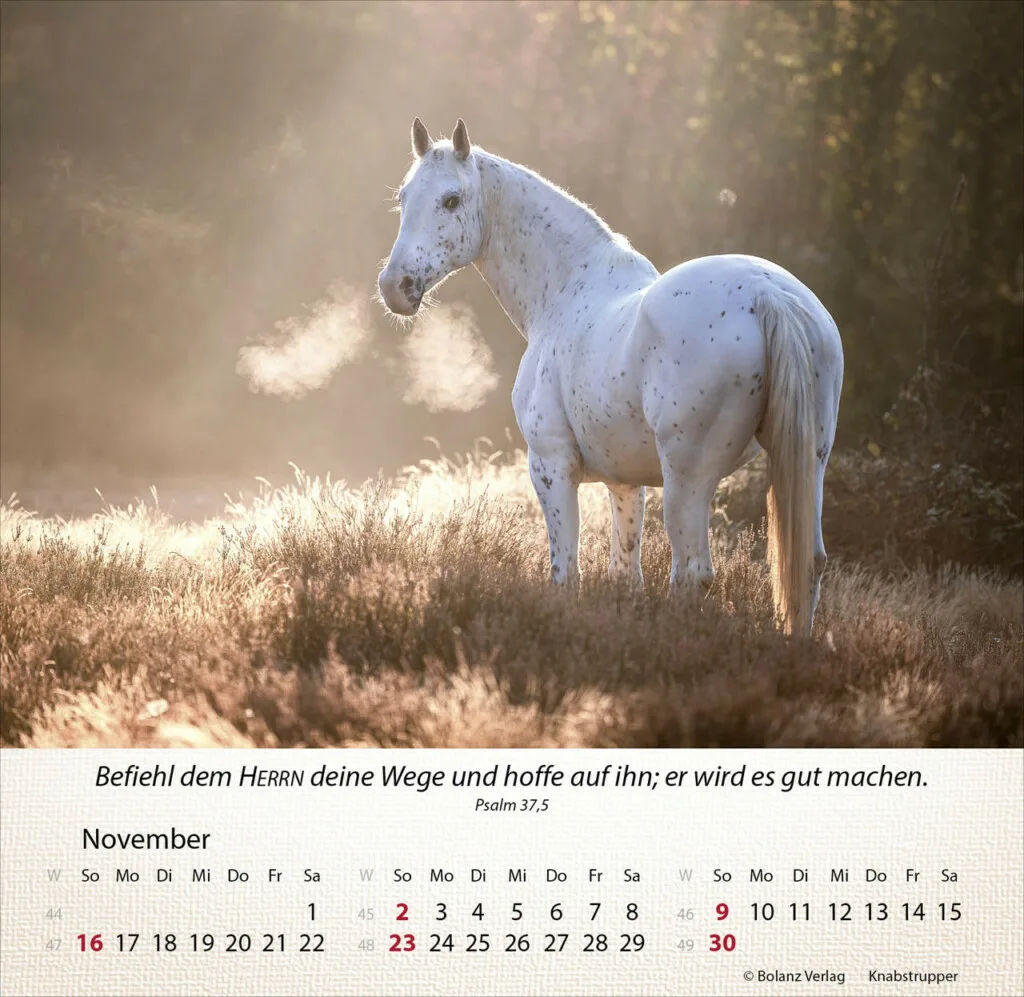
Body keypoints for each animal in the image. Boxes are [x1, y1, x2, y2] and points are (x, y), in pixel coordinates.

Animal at [378, 118, 843, 636]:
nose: (395, 287)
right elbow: (624, 574)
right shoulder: (625, 485)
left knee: (693, 573)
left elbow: (566, 573)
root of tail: (768, 295)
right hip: (809, 461)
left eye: (452, 200)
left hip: (688, 478)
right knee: (808, 564)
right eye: (404, 197)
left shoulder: (551, 465)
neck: (566, 291)